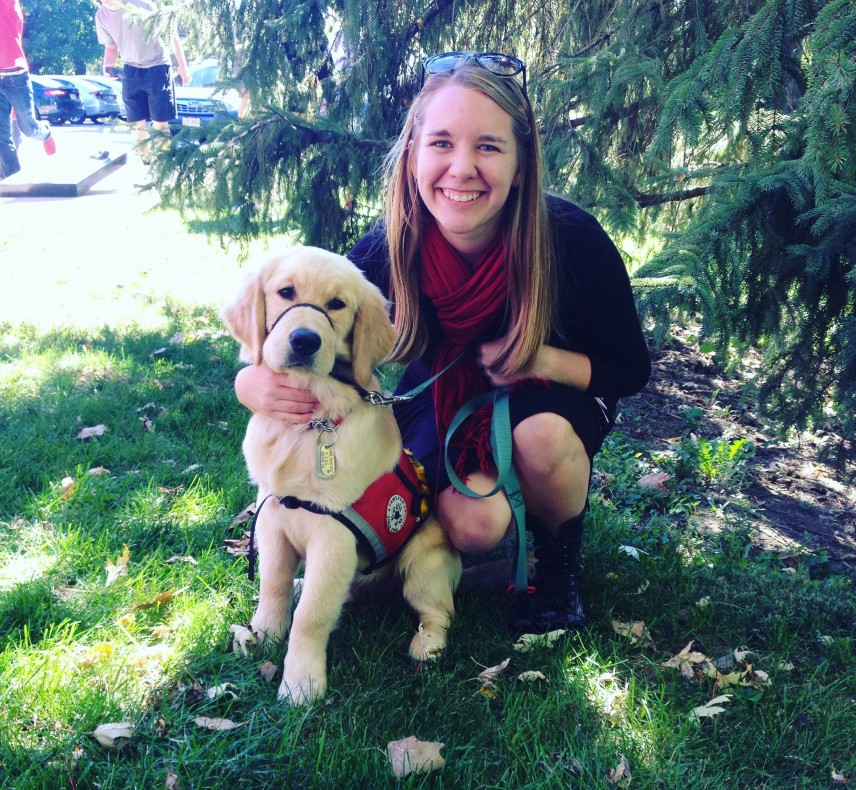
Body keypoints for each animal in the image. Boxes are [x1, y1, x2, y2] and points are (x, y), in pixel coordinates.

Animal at [222, 248, 462, 704]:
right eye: (285, 292)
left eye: (337, 305)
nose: (304, 340)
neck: (309, 424)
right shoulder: (274, 520)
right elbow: (273, 586)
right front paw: (263, 634)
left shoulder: (332, 539)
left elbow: (311, 616)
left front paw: (301, 682)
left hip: (425, 565)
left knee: (438, 610)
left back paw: (428, 643)